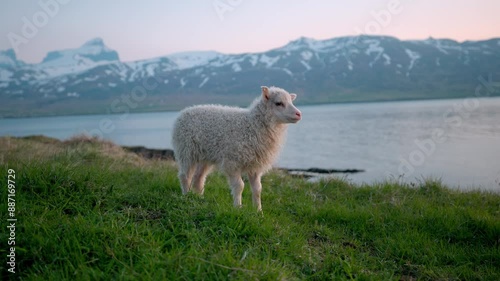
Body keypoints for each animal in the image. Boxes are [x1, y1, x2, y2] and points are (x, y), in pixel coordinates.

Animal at [174, 85, 302, 210]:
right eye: (278, 103)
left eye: (291, 101)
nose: (299, 114)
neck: (252, 125)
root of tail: (185, 111)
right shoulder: (232, 163)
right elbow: (239, 186)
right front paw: (238, 208)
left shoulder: (255, 165)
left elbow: (257, 189)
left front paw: (258, 211)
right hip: (186, 151)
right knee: (185, 176)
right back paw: (186, 196)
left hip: (205, 156)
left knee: (198, 178)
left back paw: (200, 199)